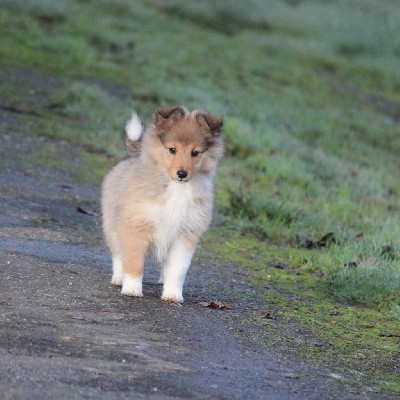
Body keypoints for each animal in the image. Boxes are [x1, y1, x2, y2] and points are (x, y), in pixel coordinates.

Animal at [101, 104, 223, 302]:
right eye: (172, 149)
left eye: (195, 153)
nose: (182, 173)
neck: (176, 189)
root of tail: (131, 155)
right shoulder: (135, 226)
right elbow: (134, 262)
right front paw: (132, 289)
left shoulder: (185, 234)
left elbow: (177, 270)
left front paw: (172, 294)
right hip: (112, 225)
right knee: (118, 254)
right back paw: (119, 279)